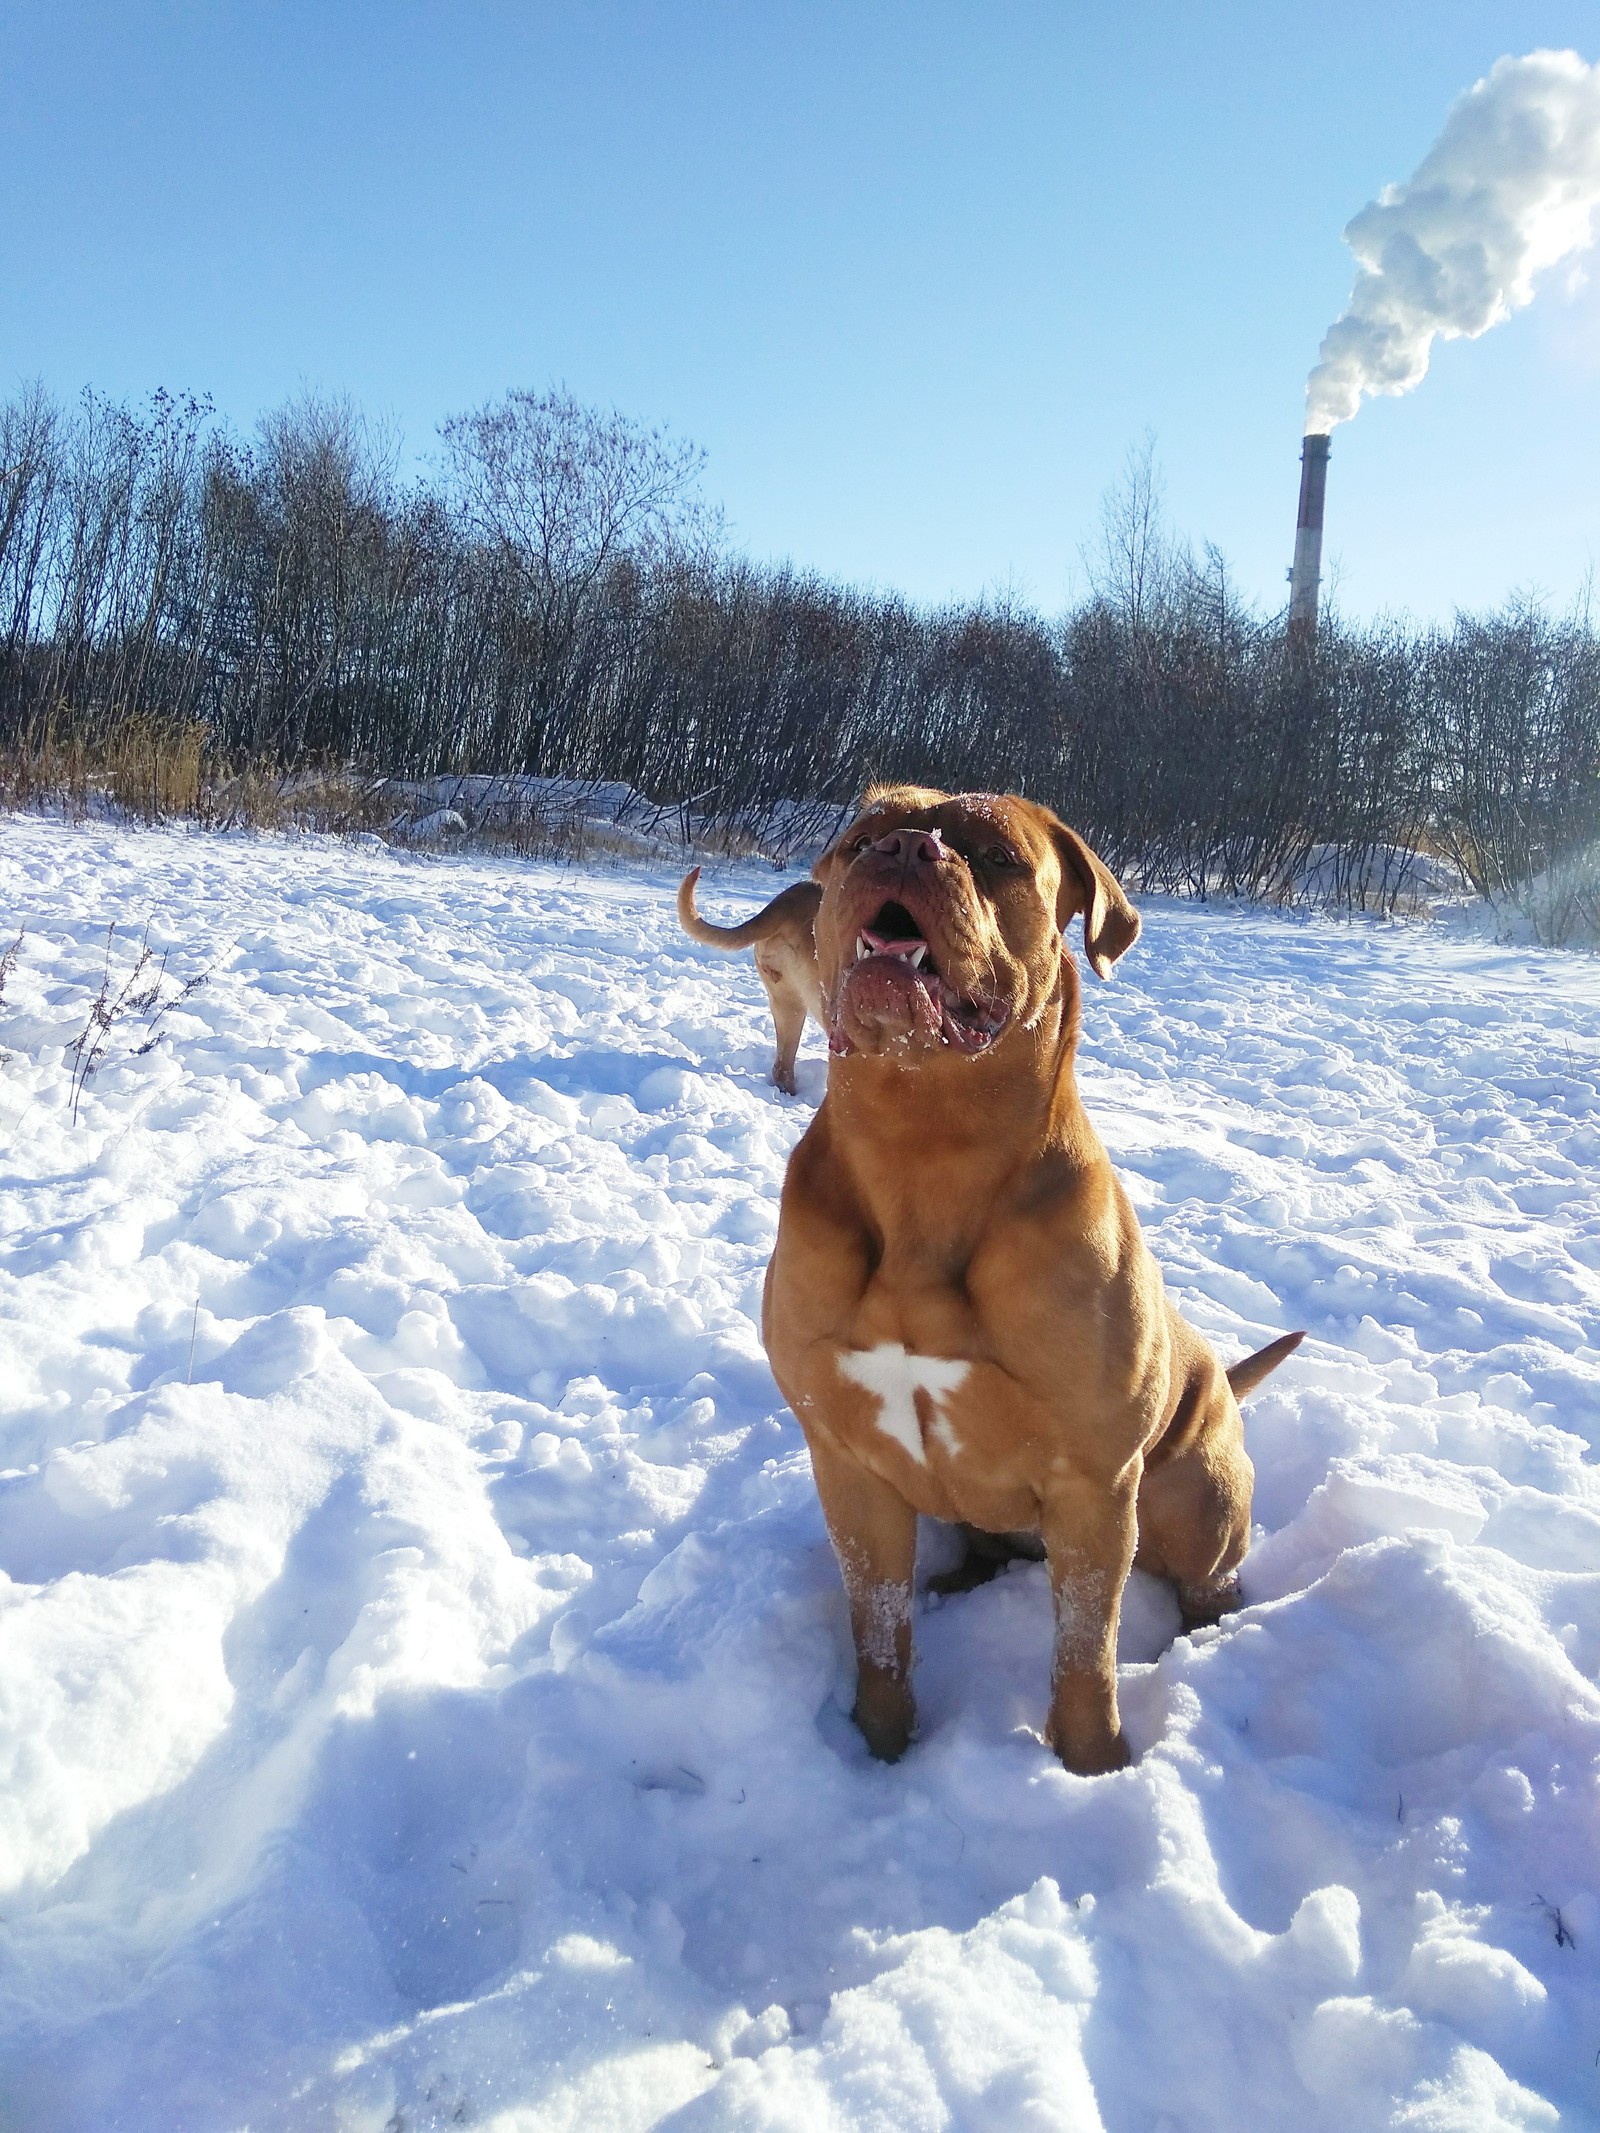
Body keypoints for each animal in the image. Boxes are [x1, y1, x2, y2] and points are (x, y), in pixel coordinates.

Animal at [763, 793, 1305, 1774]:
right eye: (860, 839)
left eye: (998, 856)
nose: (907, 846)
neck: (924, 1141)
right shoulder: (848, 1461)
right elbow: (879, 1628)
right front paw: (879, 1745)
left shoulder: (1095, 1482)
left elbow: (1086, 1649)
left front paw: (1093, 1767)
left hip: (1194, 1492)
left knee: (1206, 1580)